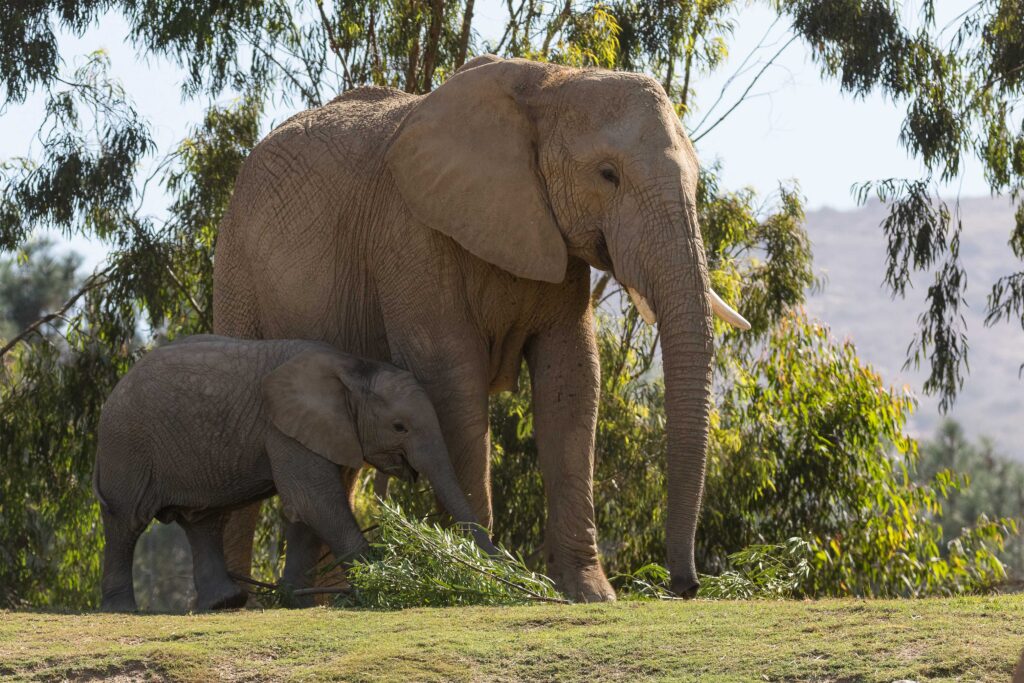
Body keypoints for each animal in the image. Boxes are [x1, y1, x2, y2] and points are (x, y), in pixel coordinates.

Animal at [93, 335, 496, 612]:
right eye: (399, 427)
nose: (501, 574)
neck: (352, 367)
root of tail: (112, 392)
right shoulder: (283, 428)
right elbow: (313, 499)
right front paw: (386, 582)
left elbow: (308, 511)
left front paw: (295, 601)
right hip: (127, 445)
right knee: (126, 521)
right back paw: (123, 609)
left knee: (203, 520)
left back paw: (224, 603)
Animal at [213, 55, 749, 601]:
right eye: (608, 175)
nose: (685, 586)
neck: (549, 81)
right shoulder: (413, 233)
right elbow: (452, 380)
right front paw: (489, 581)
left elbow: (574, 379)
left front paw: (589, 593)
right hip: (237, 267)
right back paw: (239, 603)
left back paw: (334, 598)